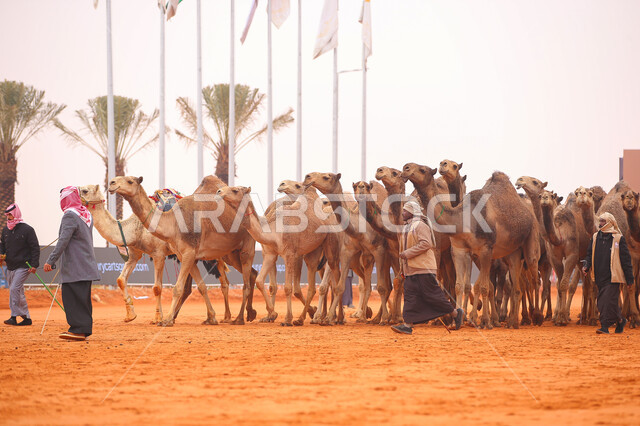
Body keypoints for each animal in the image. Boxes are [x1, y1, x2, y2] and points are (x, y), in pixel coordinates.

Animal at [79, 184, 232, 324]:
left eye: (85, 190)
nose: (73, 196)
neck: (137, 228)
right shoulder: (134, 255)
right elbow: (121, 280)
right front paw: (130, 314)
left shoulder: (158, 254)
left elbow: (157, 288)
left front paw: (158, 317)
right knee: (191, 287)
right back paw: (195, 317)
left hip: (215, 253)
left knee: (224, 282)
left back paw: (226, 317)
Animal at [110, 175, 262, 326]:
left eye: (130, 181)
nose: (111, 183)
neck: (173, 222)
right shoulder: (186, 256)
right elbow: (201, 286)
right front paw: (211, 318)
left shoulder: (186, 253)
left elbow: (177, 288)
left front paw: (166, 319)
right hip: (230, 253)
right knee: (252, 274)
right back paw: (251, 313)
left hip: (246, 246)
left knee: (245, 282)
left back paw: (240, 318)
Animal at [216, 184, 341, 326]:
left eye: (235, 190)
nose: (218, 191)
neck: (272, 230)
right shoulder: (270, 254)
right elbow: (260, 281)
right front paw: (272, 314)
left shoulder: (289, 254)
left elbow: (287, 287)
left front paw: (287, 319)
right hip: (313, 251)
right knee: (312, 284)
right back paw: (303, 318)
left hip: (330, 244)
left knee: (333, 277)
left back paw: (327, 318)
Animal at [303, 172, 394, 325]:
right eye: (355, 186)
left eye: (327, 177)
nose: (307, 177)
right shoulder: (350, 252)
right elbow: (338, 286)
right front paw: (327, 317)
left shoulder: (378, 250)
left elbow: (380, 287)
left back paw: (385, 317)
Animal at [403, 165, 540, 329]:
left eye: (422, 170)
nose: (405, 167)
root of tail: (529, 213)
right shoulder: (459, 250)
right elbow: (460, 285)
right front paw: (458, 321)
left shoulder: (486, 249)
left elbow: (484, 287)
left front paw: (485, 321)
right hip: (512, 252)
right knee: (517, 288)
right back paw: (513, 322)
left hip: (531, 240)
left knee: (534, 277)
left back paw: (536, 318)